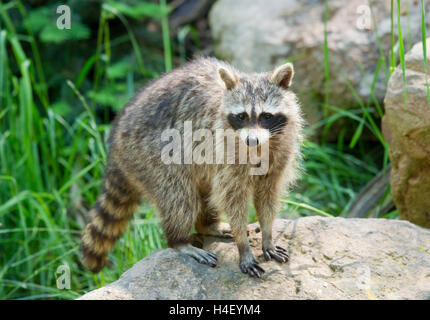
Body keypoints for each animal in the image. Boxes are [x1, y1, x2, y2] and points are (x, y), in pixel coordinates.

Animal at [80, 57, 302, 278]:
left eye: (266, 116)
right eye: (241, 116)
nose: (251, 141)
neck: (262, 146)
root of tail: (116, 141)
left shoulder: (281, 152)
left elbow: (268, 195)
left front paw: (267, 235)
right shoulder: (225, 150)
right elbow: (233, 198)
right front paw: (244, 247)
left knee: (204, 191)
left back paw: (207, 225)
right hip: (151, 154)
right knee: (180, 197)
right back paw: (179, 241)